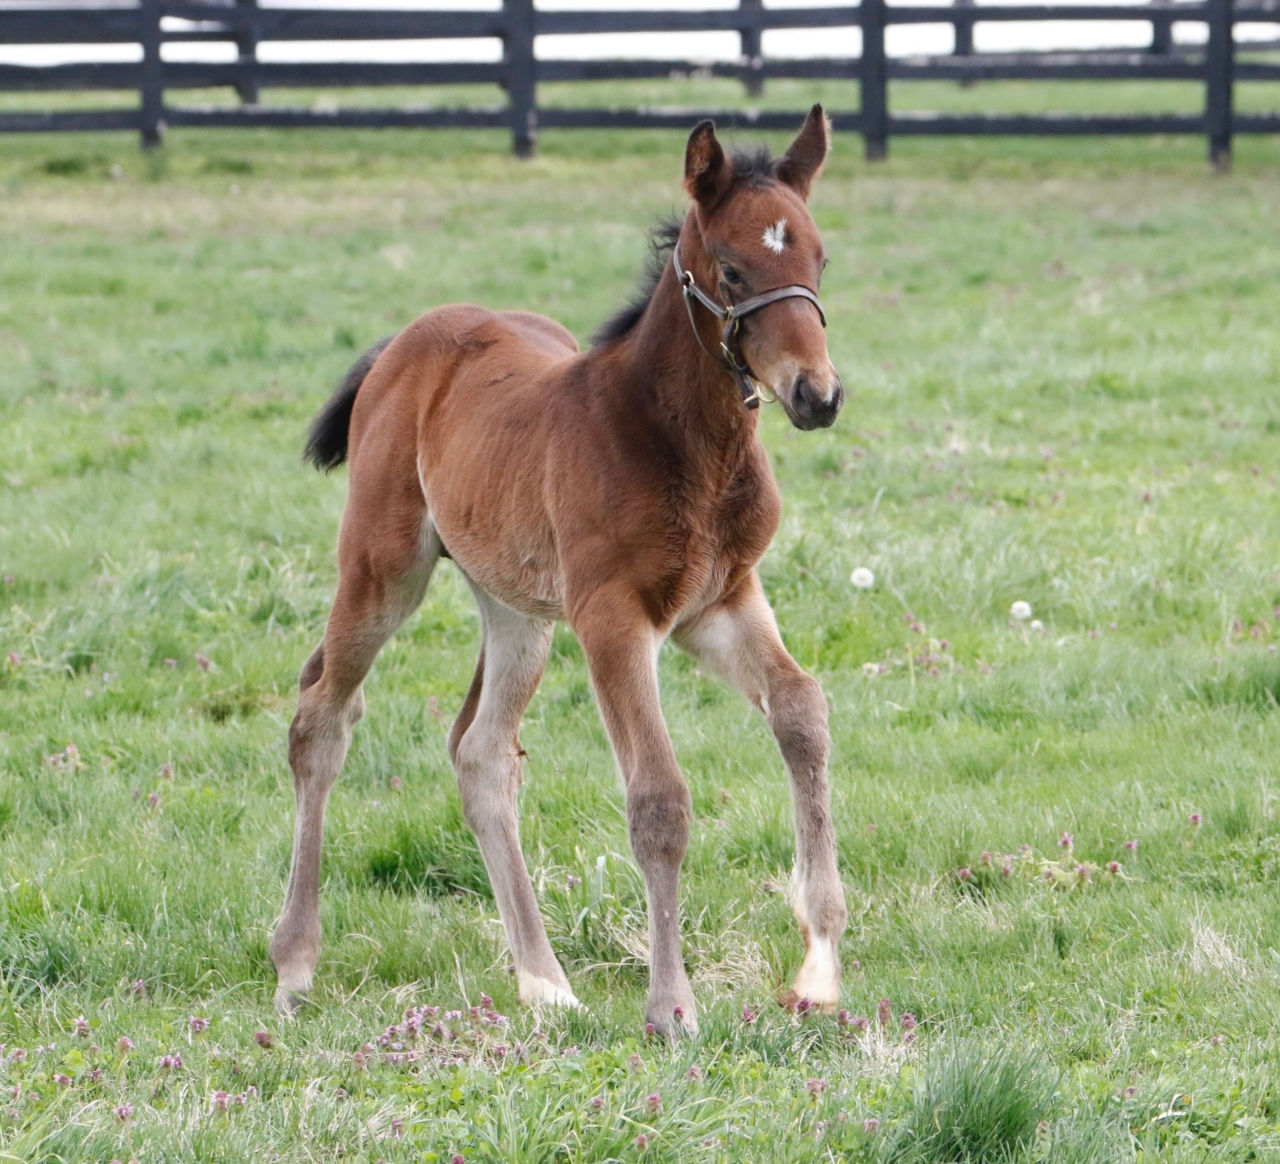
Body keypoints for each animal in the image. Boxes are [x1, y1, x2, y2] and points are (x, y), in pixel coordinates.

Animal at [268, 106, 844, 1034]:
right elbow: (659, 800)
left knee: (481, 753)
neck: (684, 444)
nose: (816, 396)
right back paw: (295, 963)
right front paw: (671, 1008)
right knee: (322, 716)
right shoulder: (614, 617)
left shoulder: (719, 601)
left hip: (520, 610)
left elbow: (800, 712)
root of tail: (409, 339)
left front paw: (820, 969)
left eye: (819, 260)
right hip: (383, 569)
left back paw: (544, 981)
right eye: (731, 267)